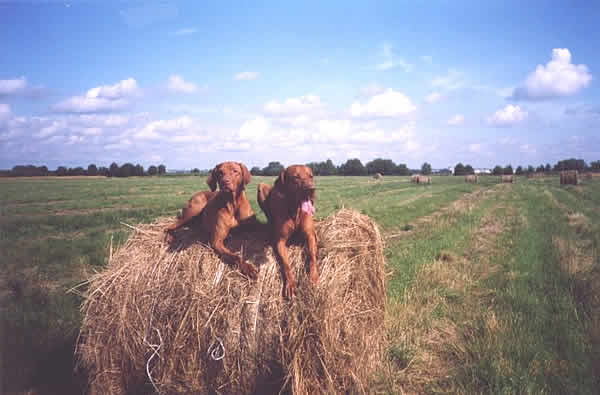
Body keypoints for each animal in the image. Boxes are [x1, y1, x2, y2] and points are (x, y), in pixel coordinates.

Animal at [256, 164, 318, 296]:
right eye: (295, 178)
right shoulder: (280, 241)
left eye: (311, 176)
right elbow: (286, 264)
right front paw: (290, 284)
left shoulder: (310, 235)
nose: (311, 189)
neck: (295, 211)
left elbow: (312, 255)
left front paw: (313, 276)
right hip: (261, 187)